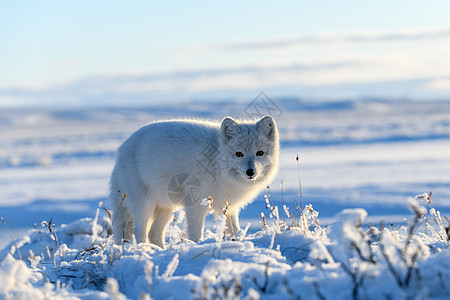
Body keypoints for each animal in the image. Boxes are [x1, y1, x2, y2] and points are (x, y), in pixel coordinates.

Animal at [109, 115, 278, 246]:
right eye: (238, 154)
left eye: (260, 153)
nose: (250, 172)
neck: (216, 162)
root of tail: (121, 150)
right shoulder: (194, 203)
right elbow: (196, 233)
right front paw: (197, 246)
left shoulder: (228, 206)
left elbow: (234, 230)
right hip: (144, 205)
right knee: (140, 233)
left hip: (165, 208)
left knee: (153, 233)